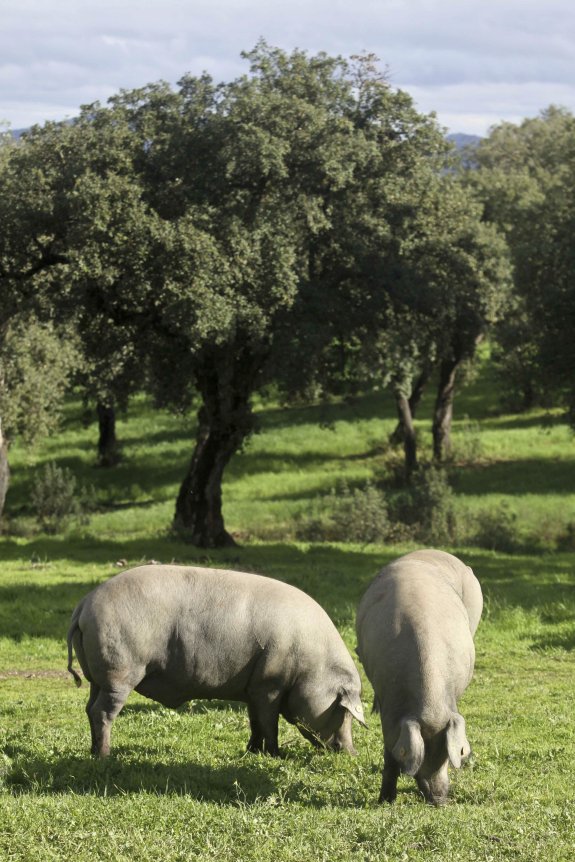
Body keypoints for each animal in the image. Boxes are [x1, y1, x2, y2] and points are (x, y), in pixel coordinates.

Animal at [66, 568, 364, 764]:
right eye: (342, 709)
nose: (352, 753)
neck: (312, 667)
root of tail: (83, 606)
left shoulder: (253, 688)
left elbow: (255, 722)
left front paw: (252, 752)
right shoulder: (269, 685)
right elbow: (270, 723)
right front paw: (276, 755)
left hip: (97, 678)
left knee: (89, 708)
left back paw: (93, 751)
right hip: (119, 673)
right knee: (103, 712)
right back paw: (105, 756)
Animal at [356, 552, 482, 808]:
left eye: (446, 757)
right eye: (421, 756)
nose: (440, 800)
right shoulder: (388, 707)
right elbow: (389, 754)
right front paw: (385, 801)